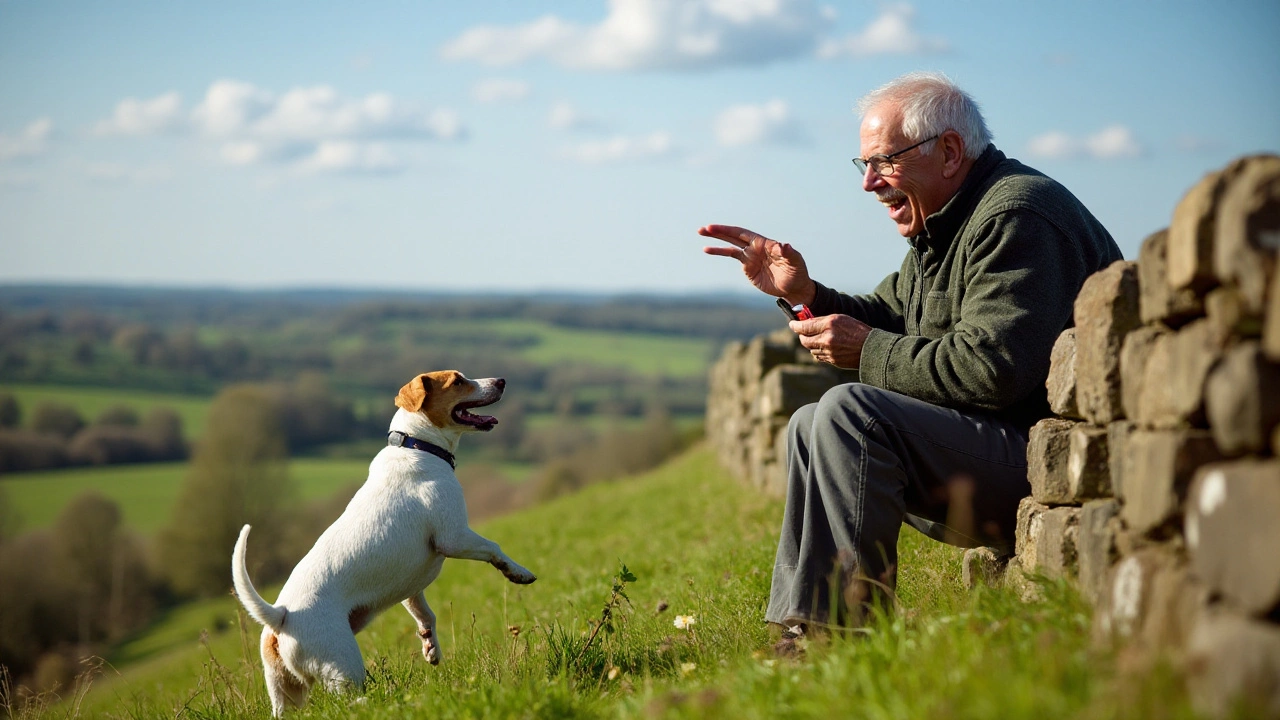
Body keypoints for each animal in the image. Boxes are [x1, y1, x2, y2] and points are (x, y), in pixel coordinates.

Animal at [232, 368, 537, 712]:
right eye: (458, 381)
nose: (501, 381)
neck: (416, 446)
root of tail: (282, 616)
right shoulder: (454, 536)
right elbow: (494, 548)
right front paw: (518, 572)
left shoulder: (412, 587)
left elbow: (425, 614)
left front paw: (430, 647)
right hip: (343, 667)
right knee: (347, 703)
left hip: (285, 693)